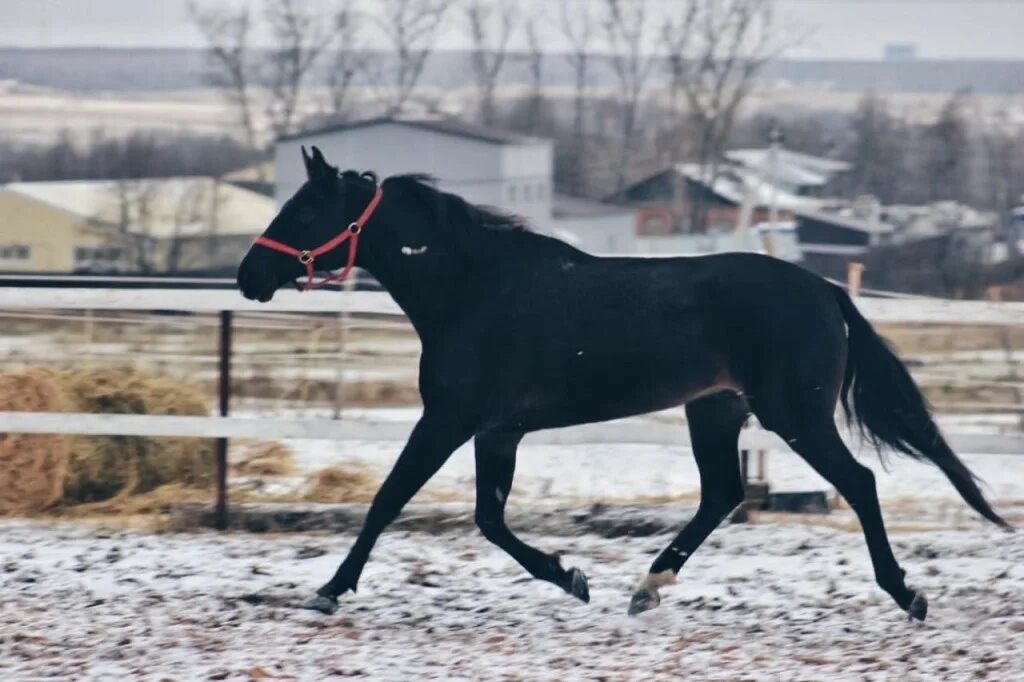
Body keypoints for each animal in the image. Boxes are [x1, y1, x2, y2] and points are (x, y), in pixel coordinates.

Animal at [237, 147, 1007, 622]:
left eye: (303, 212)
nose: (248, 276)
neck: (475, 290)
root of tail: (825, 291)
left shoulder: (450, 421)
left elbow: (388, 501)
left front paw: (328, 591)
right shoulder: (497, 431)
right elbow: (488, 518)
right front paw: (573, 577)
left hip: (793, 414)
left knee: (857, 483)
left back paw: (907, 595)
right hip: (716, 411)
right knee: (723, 493)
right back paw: (647, 588)